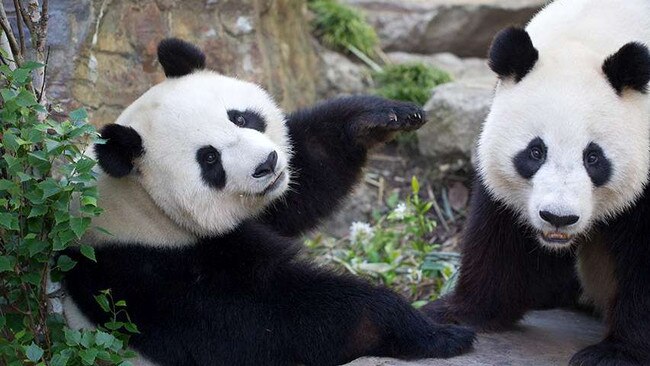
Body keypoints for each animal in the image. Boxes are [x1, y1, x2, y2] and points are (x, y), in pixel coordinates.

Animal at [60, 38, 474, 366]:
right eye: (209, 159)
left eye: (241, 118)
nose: (267, 164)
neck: (142, 206)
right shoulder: (155, 276)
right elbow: (270, 323)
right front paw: (427, 331)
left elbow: (305, 179)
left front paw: (380, 117)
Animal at [420, 0, 648, 364]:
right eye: (535, 151)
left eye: (593, 158)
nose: (558, 217)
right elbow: (502, 237)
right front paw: (455, 314)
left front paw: (616, 352)